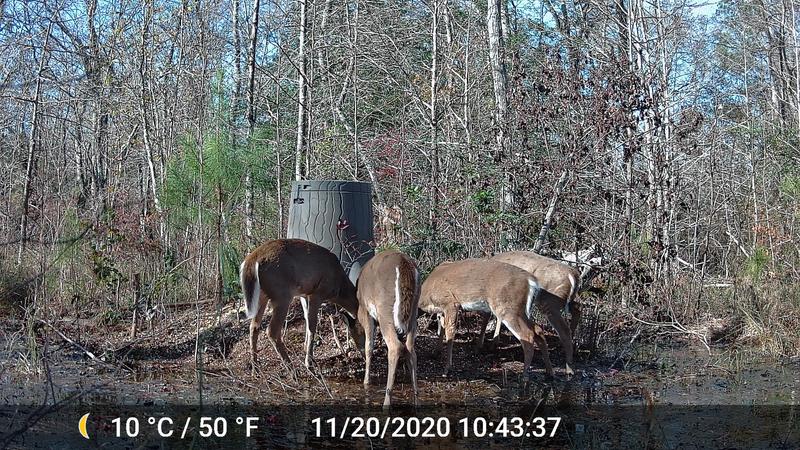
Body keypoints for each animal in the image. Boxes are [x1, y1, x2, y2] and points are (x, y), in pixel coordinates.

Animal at [354, 250, 422, 408]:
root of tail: (403, 263)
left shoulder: (367, 311)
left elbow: (369, 346)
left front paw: (366, 381)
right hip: (413, 310)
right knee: (410, 348)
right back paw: (416, 397)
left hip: (384, 308)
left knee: (395, 347)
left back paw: (386, 400)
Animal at [416, 258, 552, 382]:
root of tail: (531, 281)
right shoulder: (442, 311)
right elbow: (442, 328)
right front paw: (435, 353)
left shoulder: (451, 303)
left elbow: (450, 332)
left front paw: (446, 369)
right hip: (520, 310)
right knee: (538, 330)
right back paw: (549, 372)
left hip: (507, 308)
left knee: (527, 335)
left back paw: (525, 377)